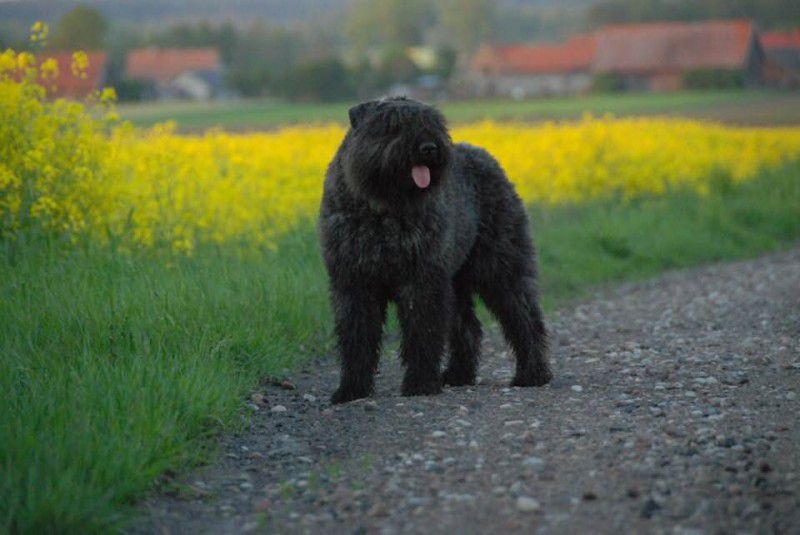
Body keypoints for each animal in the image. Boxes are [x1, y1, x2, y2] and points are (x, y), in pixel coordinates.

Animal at [318, 98, 552, 404]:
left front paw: (420, 383)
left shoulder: (421, 282)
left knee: (524, 318)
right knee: (468, 327)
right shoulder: (354, 284)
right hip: (455, 281)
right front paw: (351, 389)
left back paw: (533, 374)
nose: (428, 147)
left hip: (501, 268)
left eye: (434, 123)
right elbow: (356, 337)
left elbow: (422, 332)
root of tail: (486, 156)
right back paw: (458, 374)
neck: (383, 210)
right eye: (392, 125)